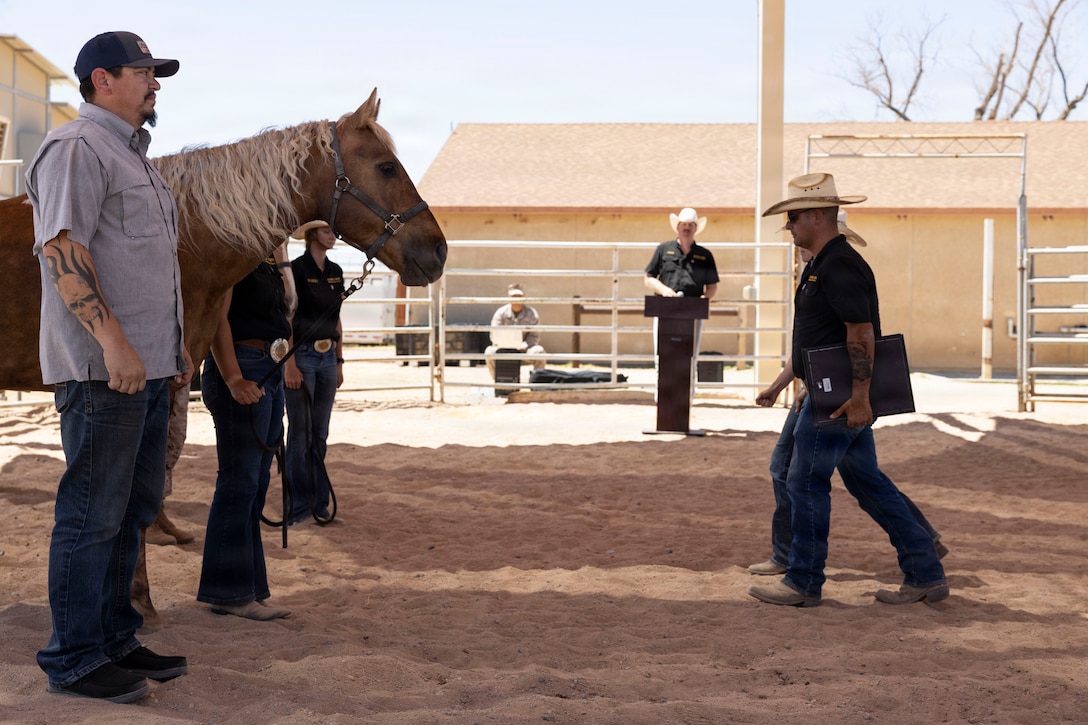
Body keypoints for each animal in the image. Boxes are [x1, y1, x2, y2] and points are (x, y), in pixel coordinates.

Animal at [0, 88, 446, 626]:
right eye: (385, 167)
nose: (439, 251)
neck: (189, 234)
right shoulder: (158, 386)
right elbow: (138, 489)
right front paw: (139, 600)